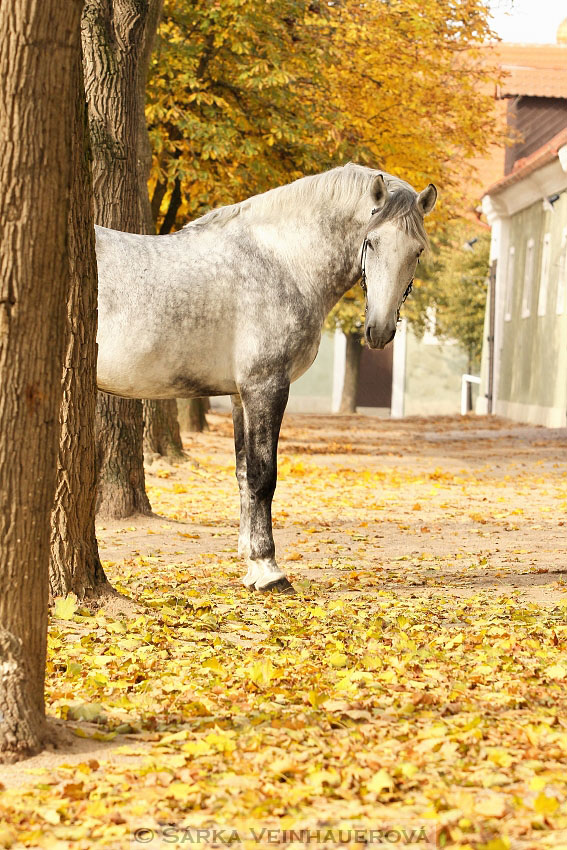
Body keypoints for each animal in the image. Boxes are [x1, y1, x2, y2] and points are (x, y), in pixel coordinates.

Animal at [95, 162, 438, 592]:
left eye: (417, 250)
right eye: (371, 243)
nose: (379, 331)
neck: (282, 260)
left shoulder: (240, 394)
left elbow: (243, 474)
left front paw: (249, 562)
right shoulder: (266, 386)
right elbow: (264, 476)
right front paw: (269, 569)